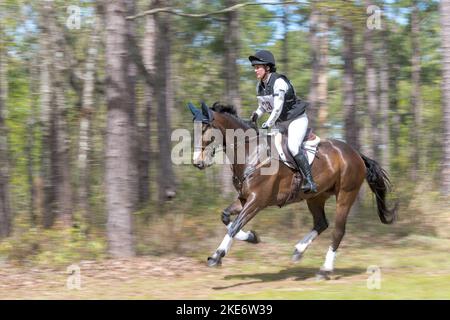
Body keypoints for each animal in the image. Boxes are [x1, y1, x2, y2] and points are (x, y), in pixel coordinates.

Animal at [188, 101, 400, 278]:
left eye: (205, 129)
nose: (197, 162)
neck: (252, 153)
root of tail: (355, 153)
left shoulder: (257, 201)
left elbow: (234, 226)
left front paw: (217, 256)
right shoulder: (244, 199)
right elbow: (226, 218)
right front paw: (252, 237)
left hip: (346, 195)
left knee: (338, 230)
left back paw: (325, 269)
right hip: (315, 197)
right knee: (321, 223)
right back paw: (299, 250)